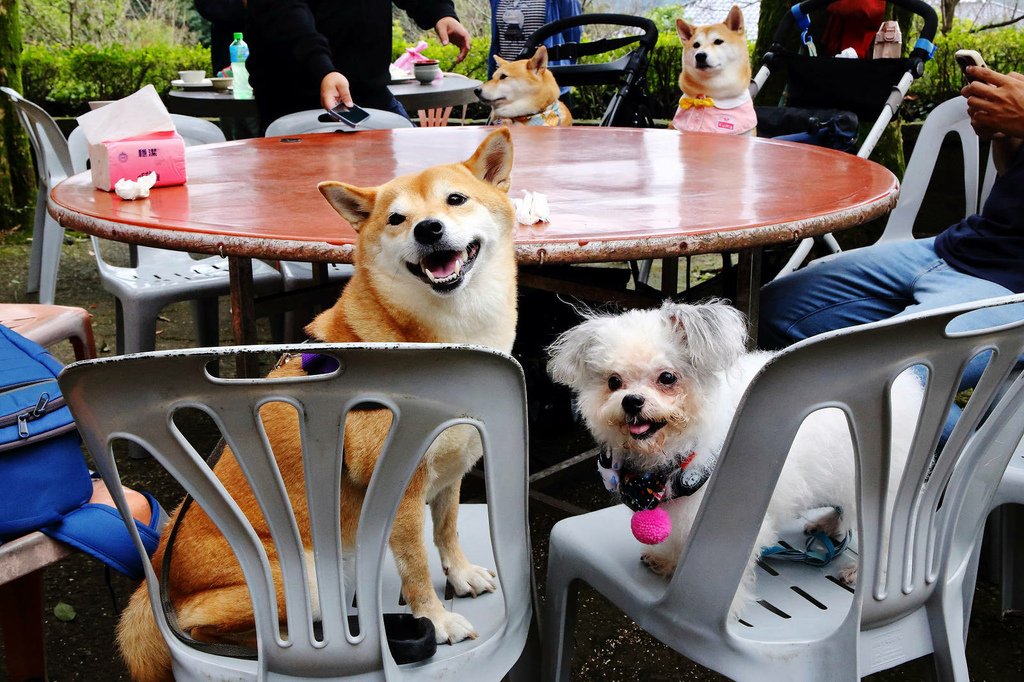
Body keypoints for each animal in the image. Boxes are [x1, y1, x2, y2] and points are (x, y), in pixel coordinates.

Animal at [117, 129, 520, 679]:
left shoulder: (450, 471)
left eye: (455, 200)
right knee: (212, 630)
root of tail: (158, 571)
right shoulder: (398, 489)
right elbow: (416, 565)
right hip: (299, 577)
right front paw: (435, 620)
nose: (428, 229)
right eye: (397, 219)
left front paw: (459, 575)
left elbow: (448, 530)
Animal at [548, 296, 925, 610]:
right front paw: (669, 562)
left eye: (667, 377)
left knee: (885, 532)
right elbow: (679, 543)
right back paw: (829, 525)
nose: (631, 401)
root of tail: (907, 383)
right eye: (613, 382)